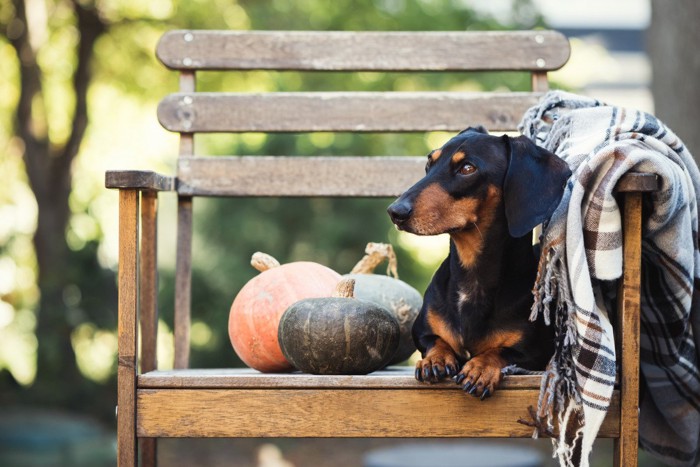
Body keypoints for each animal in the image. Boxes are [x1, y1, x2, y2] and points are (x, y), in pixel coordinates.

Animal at [386, 126, 572, 400]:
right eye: (429, 163)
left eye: (467, 168)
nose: (395, 212)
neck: (472, 276)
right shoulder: (421, 332)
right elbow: (436, 340)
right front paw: (435, 359)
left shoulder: (534, 352)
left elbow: (501, 351)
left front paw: (480, 367)